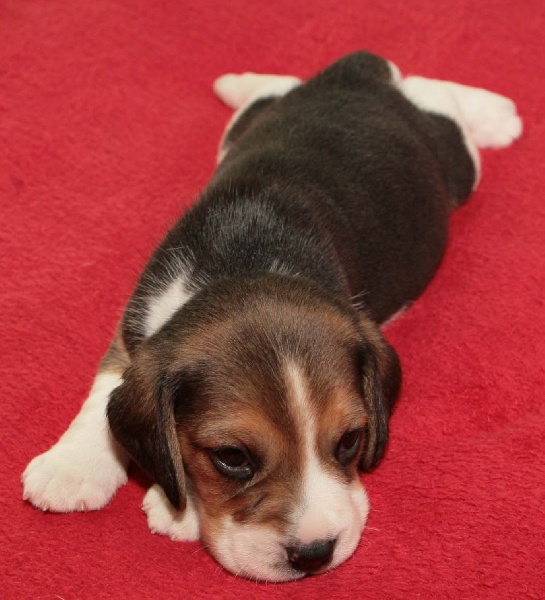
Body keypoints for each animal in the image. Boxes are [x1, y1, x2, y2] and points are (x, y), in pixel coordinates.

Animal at [22, 52, 522, 582]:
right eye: (232, 458)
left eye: (350, 441)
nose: (314, 553)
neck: (246, 261)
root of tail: (354, 75)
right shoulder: (136, 322)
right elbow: (102, 393)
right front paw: (72, 467)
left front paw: (175, 509)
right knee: (280, 88)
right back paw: (239, 80)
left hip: (456, 163)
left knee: (437, 96)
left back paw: (494, 114)